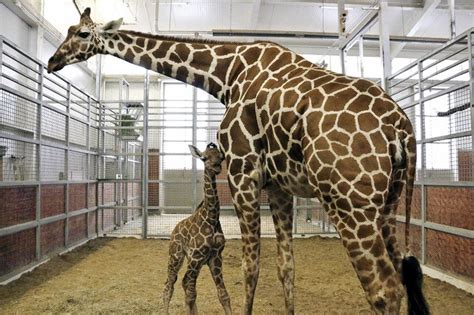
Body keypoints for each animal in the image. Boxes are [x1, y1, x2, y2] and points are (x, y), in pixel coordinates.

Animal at [162, 144, 232, 315]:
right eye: (204, 158)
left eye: (221, 157)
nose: (216, 167)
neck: (212, 217)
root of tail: (174, 230)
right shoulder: (196, 256)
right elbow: (190, 296)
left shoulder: (215, 256)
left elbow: (223, 295)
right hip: (176, 257)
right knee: (169, 285)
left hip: (195, 262)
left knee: (184, 282)